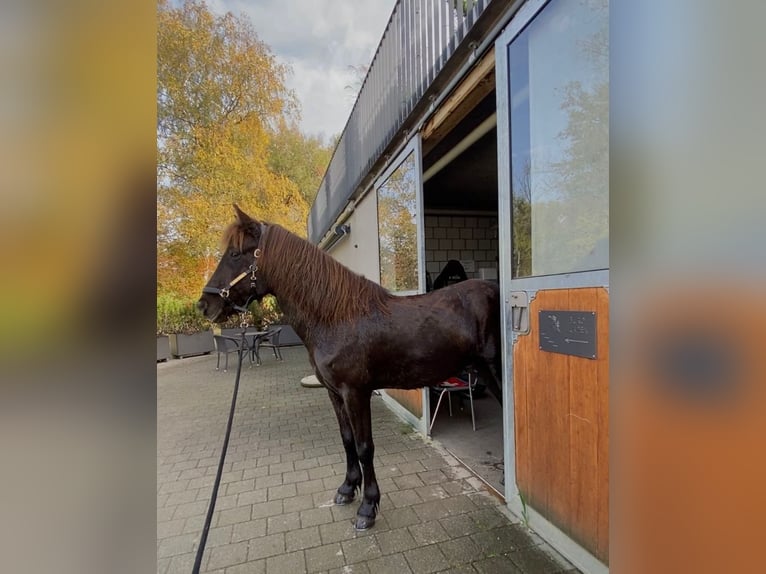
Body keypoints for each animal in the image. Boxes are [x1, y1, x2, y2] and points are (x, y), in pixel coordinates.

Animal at [198, 206, 504, 532]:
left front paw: (368, 507)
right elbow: (347, 441)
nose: (204, 305)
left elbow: (364, 446)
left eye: (234, 254)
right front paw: (347, 489)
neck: (337, 318)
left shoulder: (356, 393)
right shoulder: (334, 393)